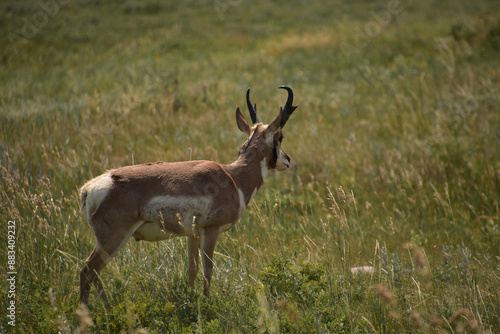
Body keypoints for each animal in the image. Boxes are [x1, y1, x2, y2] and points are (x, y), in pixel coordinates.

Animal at [78, 85, 296, 306]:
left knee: (90, 272)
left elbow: (193, 269)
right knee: (88, 270)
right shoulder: (210, 231)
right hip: (114, 238)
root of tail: (91, 187)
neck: (233, 177)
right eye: (280, 136)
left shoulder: (193, 234)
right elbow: (208, 269)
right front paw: (207, 303)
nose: (287, 160)